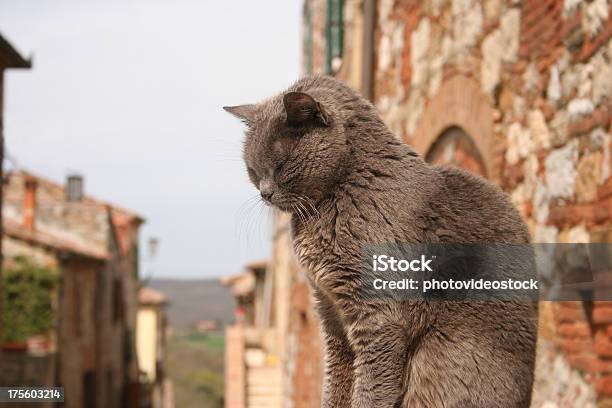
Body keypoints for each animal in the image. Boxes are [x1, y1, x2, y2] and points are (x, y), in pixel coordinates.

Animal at [225, 75, 536, 406]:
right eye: (253, 171)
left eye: (281, 165)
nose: (265, 192)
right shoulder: (331, 313)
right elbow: (336, 383)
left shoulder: (379, 316)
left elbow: (372, 387)